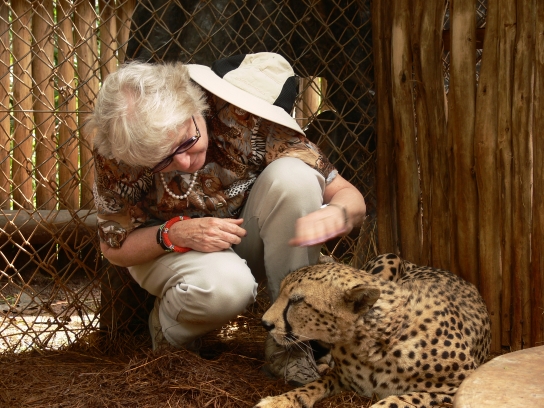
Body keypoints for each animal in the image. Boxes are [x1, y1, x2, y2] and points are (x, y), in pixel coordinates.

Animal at [255, 253, 491, 408]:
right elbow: (314, 385)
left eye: (297, 300)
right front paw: (280, 400)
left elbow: (404, 398)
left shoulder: (463, 383)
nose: (265, 323)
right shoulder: (342, 377)